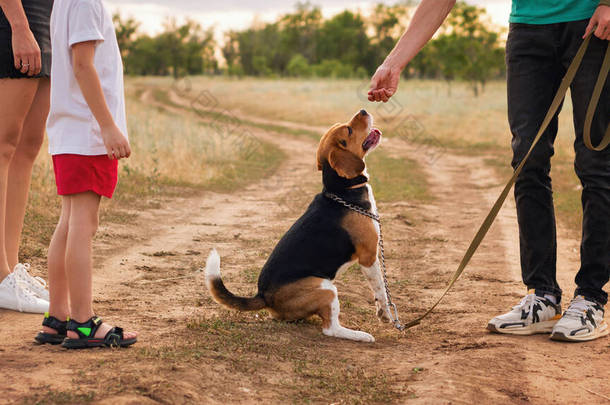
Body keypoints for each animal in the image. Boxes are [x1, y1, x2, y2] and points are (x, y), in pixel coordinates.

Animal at [205, 109, 390, 340]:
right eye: (348, 130)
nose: (363, 110)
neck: (342, 190)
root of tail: (263, 295)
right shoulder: (368, 256)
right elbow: (380, 288)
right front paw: (386, 314)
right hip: (325, 287)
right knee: (330, 328)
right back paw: (360, 335)